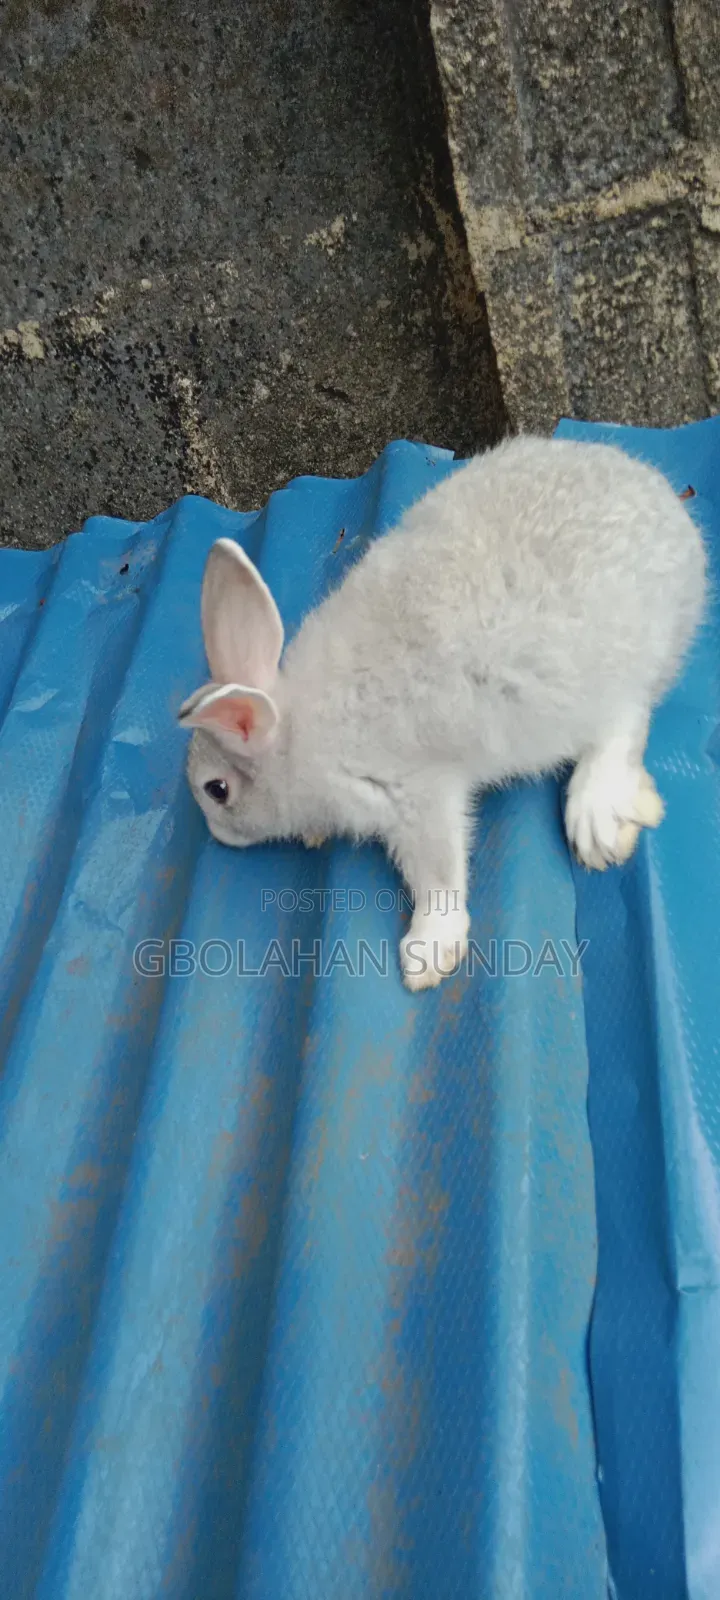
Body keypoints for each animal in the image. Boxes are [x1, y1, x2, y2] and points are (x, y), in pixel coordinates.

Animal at [179, 436, 707, 991]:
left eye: (217, 791)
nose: (218, 837)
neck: (298, 735)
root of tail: (673, 513)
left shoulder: (418, 797)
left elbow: (438, 874)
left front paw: (428, 954)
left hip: (597, 682)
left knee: (626, 722)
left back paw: (596, 820)